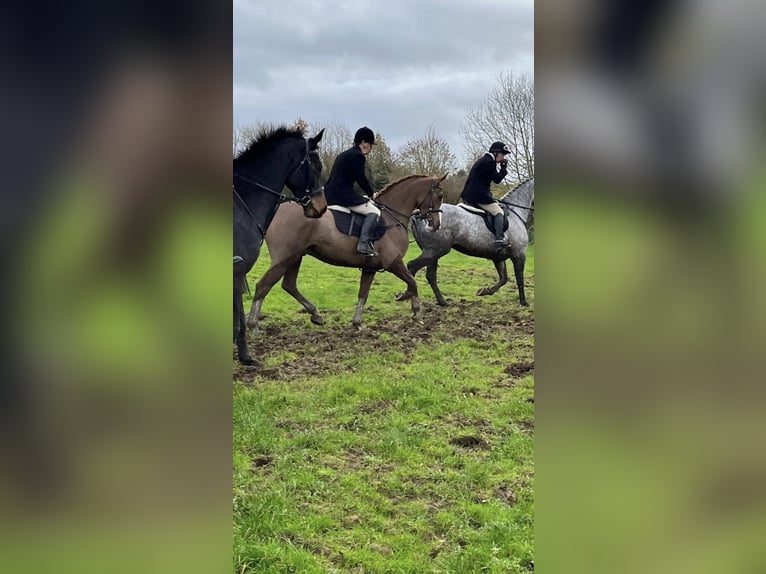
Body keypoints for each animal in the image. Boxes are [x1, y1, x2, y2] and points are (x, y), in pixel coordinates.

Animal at [246, 174, 447, 330]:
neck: (391, 217)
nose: (437, 225)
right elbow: (413, 282)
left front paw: (357, 322)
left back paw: (316, 314)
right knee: (263, 286)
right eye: (439, 195)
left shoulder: (370, 268)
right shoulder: (393, 262)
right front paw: (415, 310)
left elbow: (363, 294)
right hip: (284, 259)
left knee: (289, 285)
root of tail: (278, 210)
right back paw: (253, 324)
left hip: (295, 257)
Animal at [398, 178, 534, 307]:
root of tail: (419, 214)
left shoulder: (498, 257)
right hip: (436, 251)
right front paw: (524, 303)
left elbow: (503, 279)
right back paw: (411, 300)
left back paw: (443, 302)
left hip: (432, 252)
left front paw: (484, 291)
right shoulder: (519, 255)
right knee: (413, 267)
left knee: (430, 275)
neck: (516, 212)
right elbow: (519, 279)